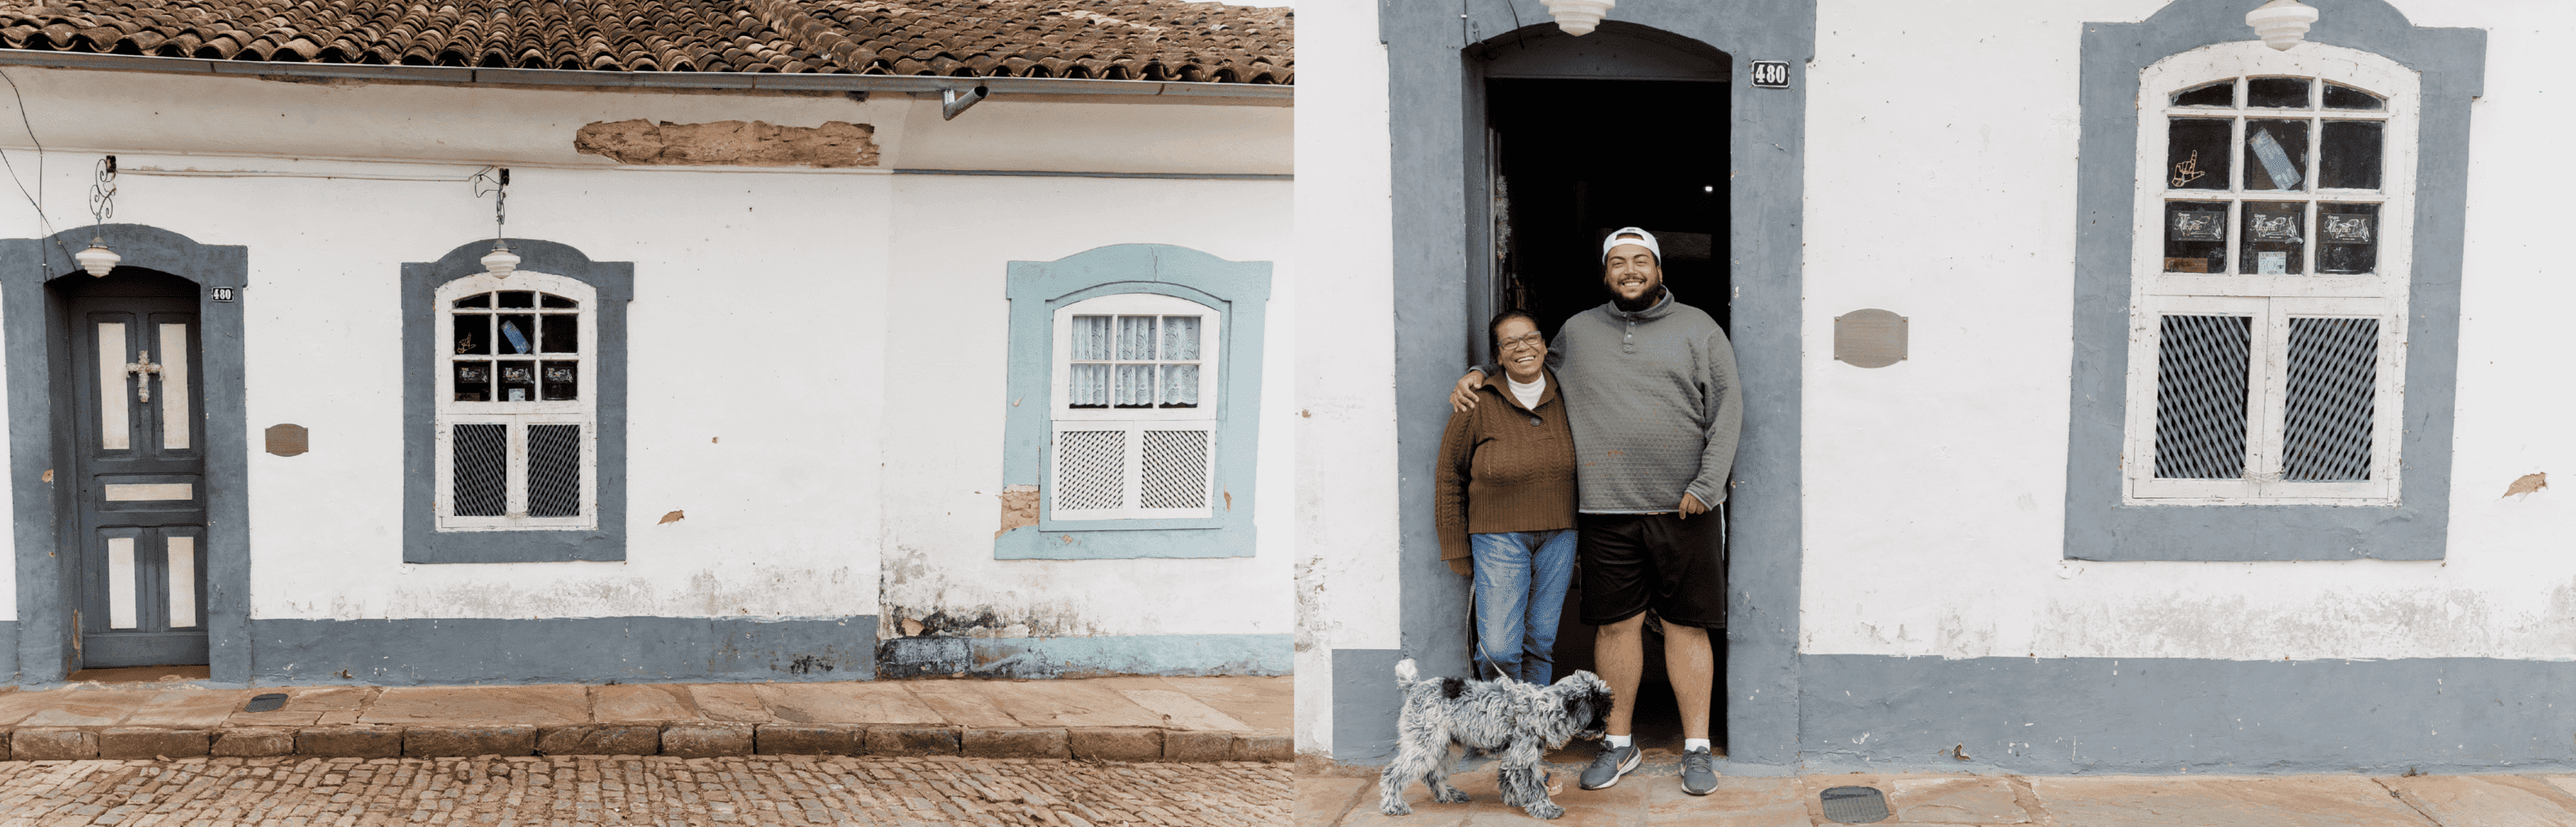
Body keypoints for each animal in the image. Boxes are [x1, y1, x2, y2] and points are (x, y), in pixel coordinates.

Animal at [1370, 657, 1607, 819]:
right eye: (1599, 713)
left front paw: (1512, 799)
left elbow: (1507, 778)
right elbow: (1534, 787)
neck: (1540, 708)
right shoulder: (1523, 758)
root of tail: (1415, 686)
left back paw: (1448, 795)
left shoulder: (1514, 755)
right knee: (1393, 774)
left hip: (1447, 746)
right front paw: (1546, 809)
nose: (1605, 730)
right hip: (1425, 744)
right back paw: (1393, 804)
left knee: (1432, 775)